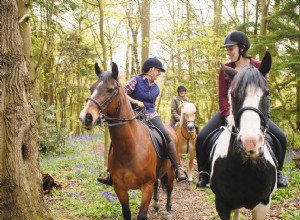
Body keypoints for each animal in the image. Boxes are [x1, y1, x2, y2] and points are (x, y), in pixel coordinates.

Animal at [79, 62, 177, 220]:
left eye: (110, 90)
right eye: (92, 88)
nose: (85, 117)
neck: (130, 149)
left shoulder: (146, 187)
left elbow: (142, 215)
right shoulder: (120, 188)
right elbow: (126, 213)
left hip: (171, 171)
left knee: (169, 189)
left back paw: (168, 210)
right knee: (157, 183)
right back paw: (156, 204)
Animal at [209, 51, 276, 218]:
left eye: (266, 93)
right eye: (232, 94)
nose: (250, 143)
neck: (245, 168)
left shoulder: (263, 204)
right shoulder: (222, 204)